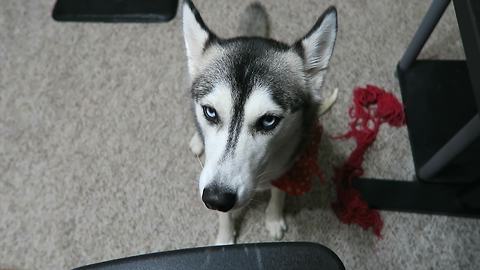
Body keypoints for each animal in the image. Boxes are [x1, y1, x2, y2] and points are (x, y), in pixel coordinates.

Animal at [183, 0, 338, 245]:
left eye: (268, 121)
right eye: (210, 112)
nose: (217, 198)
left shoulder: (289, 166)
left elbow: (279, 193)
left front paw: (273, 218)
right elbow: (225, 217)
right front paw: (225, 238)